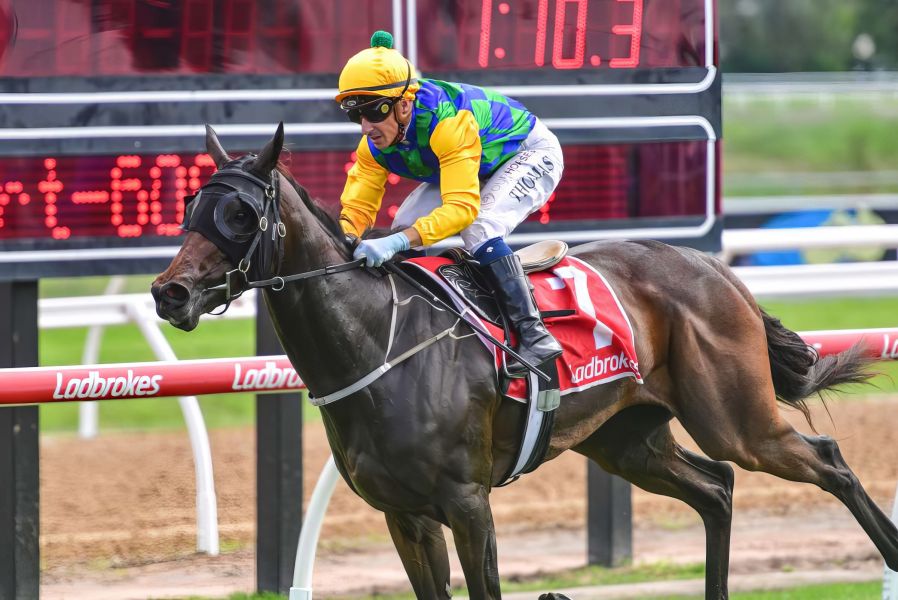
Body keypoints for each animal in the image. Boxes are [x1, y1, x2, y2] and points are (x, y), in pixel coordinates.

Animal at [152, 123, 898, 599]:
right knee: (716, 488)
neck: (378, 343)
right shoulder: (406, 515)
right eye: (190, 204)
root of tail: (714, 267)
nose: (169, 292)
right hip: (626, 439)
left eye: (241, 214)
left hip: (735, 419)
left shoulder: (467, 502)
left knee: (826, 459)